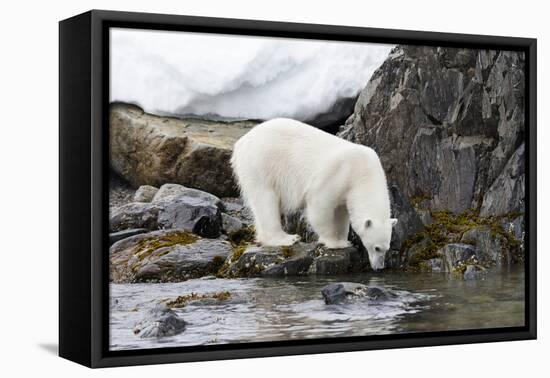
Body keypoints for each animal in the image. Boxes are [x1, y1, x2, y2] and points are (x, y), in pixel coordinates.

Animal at [232, 118, 396, 268]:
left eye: (387, 248)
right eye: (377, 248)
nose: (379, 267)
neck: (364, 173)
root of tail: (241, 143)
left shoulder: (347, 191)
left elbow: (341, 212)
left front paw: (343, 240)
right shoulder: (337, 175)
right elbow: (320, 207)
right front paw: (334, 242)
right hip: (262, 164)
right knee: (266, 200)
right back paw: (287, 238)